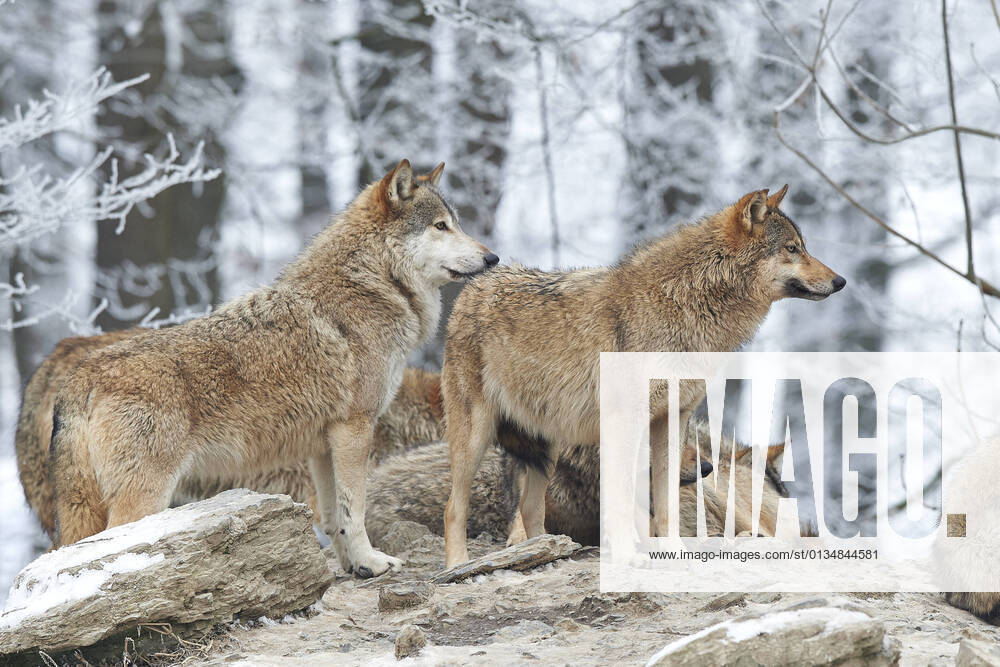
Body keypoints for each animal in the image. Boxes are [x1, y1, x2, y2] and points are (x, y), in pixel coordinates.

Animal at [442, 185, 845, 566]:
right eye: (793, 249)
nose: (840, 281)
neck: (685, 304)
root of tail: (471, 291)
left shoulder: (672, 418)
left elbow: (665, 503)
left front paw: (673, 551)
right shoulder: (626, 422)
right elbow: (624, 501)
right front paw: (628, 556)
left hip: (548, 445)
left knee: (529, 509)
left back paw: (545, 550)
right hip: (476, 436)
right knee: (453, 507)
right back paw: (457, 565)